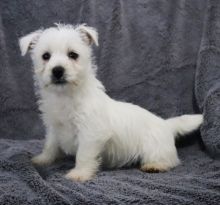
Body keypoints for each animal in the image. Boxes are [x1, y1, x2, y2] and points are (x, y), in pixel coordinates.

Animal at [18, 23, 203, 182]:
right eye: (45, 56)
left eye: (73, 55)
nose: (57, 70)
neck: (66, 96)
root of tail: (166, 124)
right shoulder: (54, 127)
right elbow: (50, 145)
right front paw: (42, 159)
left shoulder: (90, 133)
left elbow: (83, 155)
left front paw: (79, 174)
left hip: (155, 148)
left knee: (170, 160)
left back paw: (155, 166)